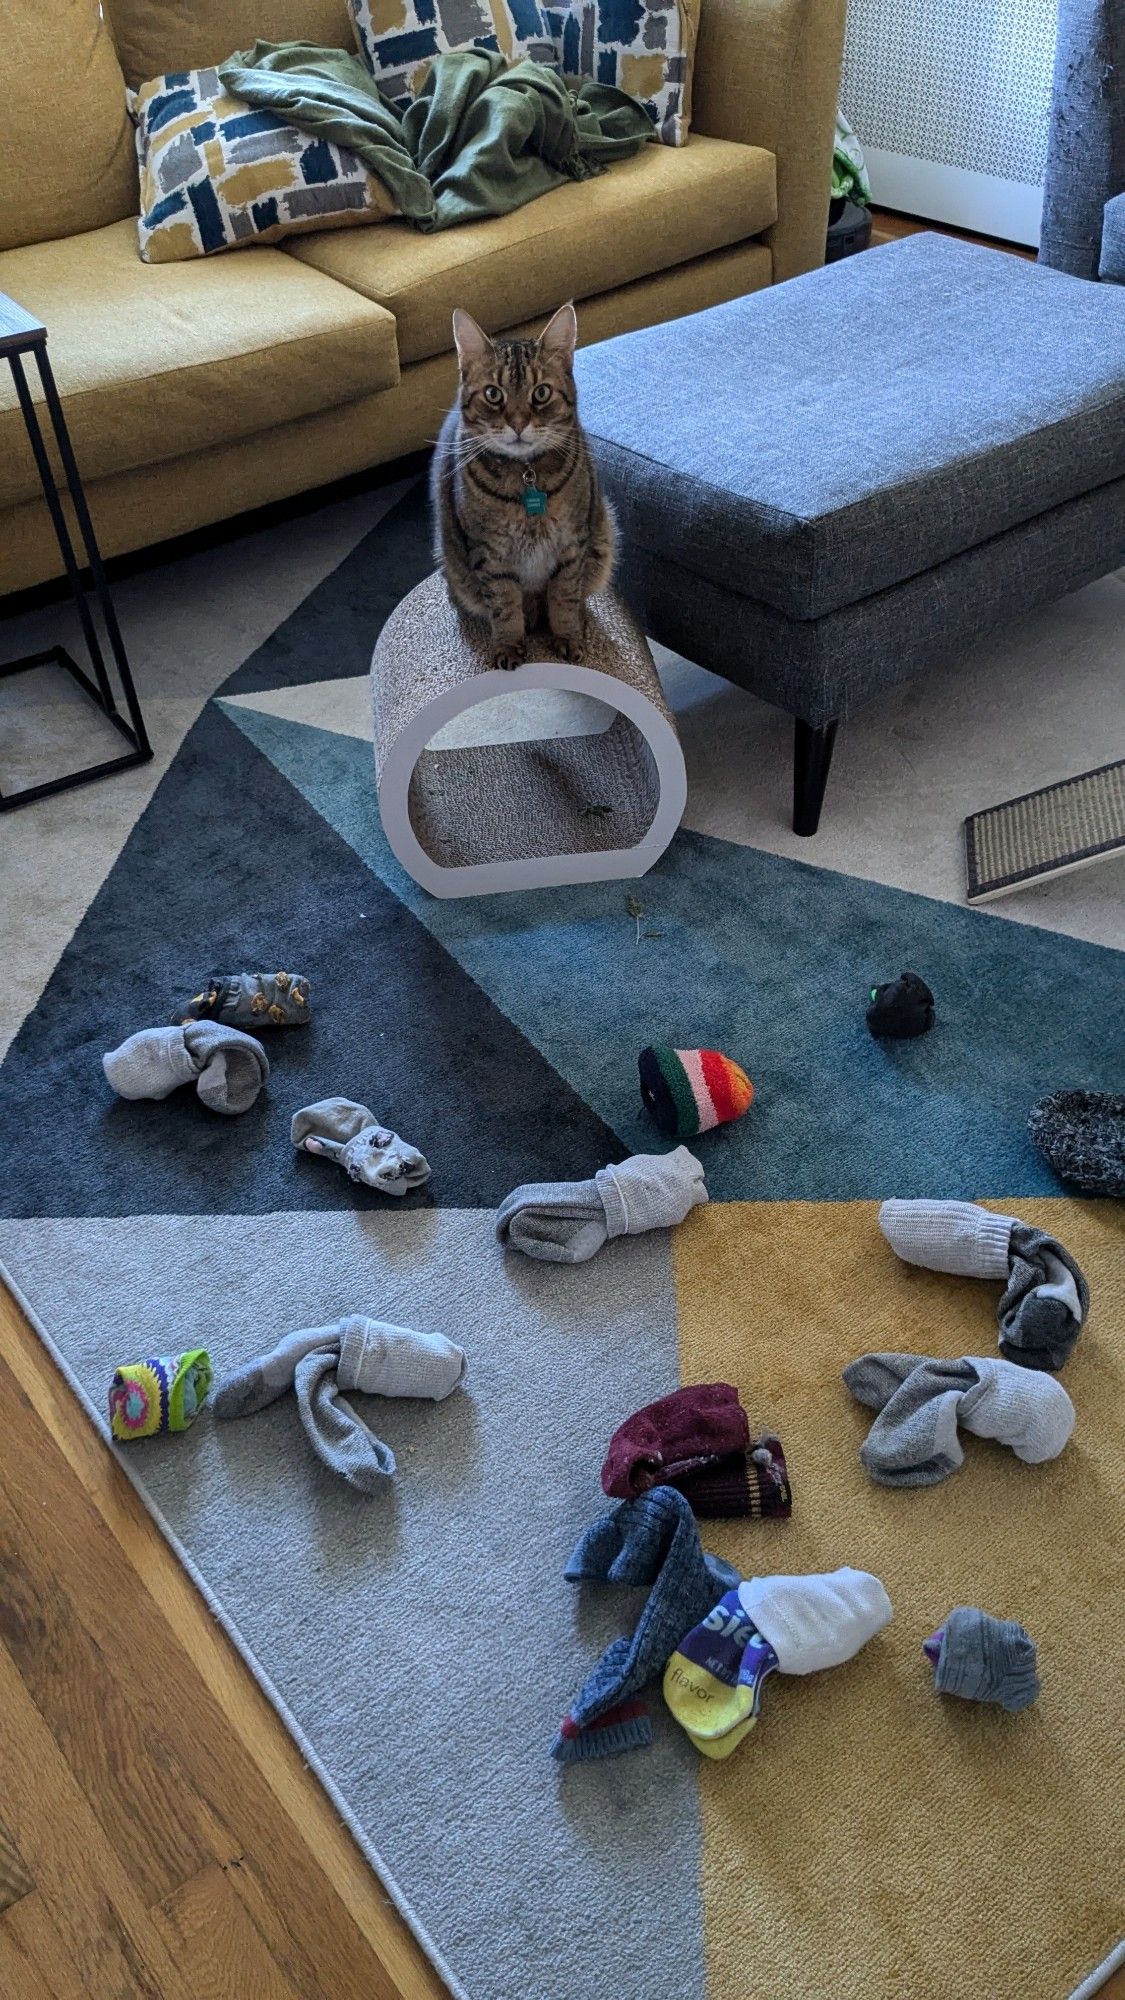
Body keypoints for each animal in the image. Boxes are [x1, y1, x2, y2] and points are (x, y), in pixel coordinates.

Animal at [428, 300, 612, 668]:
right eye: (493, 394)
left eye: (541, 393)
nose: (517, 423)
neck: (527, 476)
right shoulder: (490, 554)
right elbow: (504, 604)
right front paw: (509, 645)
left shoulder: (572, 545)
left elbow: (564, 597)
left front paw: (568, 636)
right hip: (454, 569)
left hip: (602, 539)